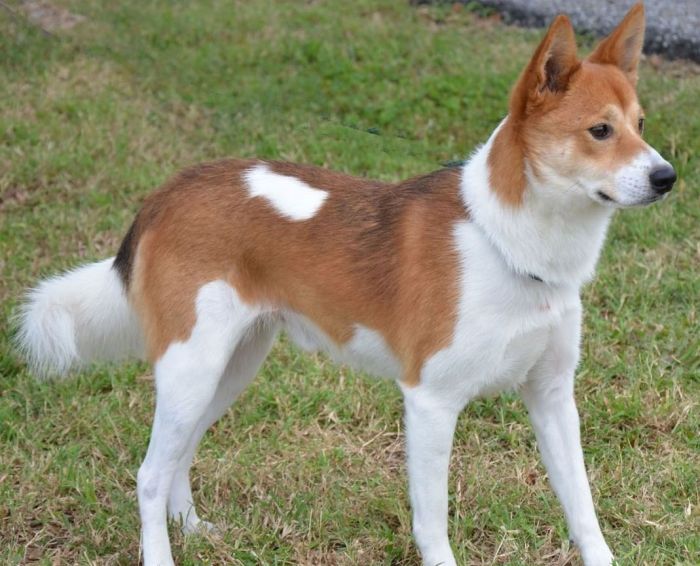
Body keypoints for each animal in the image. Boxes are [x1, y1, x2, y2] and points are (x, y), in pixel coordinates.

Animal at [16, 4, 672, 566]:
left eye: (641, 125)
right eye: (600, 131)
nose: (667, 177)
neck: (511, 242)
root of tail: (165, 194)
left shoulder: (554, 398)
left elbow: (583, 508)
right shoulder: (431, 402)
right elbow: (432, 522)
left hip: (228, 368)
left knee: (180, 452)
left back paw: (194, 529)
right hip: (192, 367)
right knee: (149, 474)